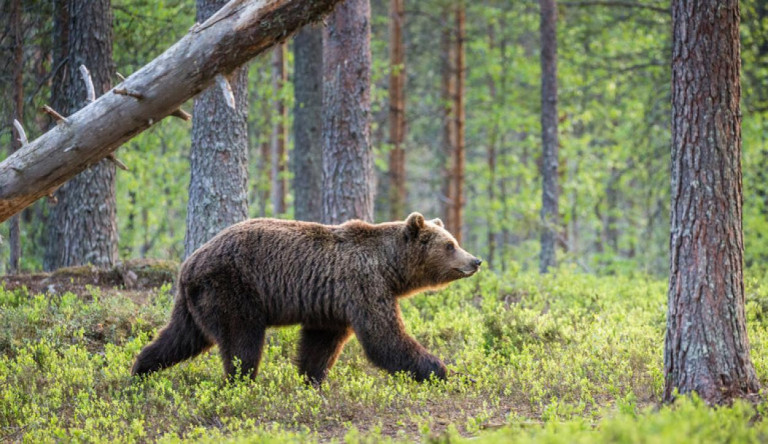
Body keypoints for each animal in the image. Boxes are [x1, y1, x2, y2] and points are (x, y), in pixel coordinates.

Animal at [131, 211, 480, 382]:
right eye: (450, 245)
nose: (475, 260)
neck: (390, 268)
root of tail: (188, 264)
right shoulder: (364, 285)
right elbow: (384, 337)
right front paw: (443, 371)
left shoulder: (331, 303)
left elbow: (320, 343)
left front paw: (313, 379)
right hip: (232, 288)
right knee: (242, 341)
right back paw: (242, 383)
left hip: (195, 301)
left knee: (180, 337)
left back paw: (140, 371)